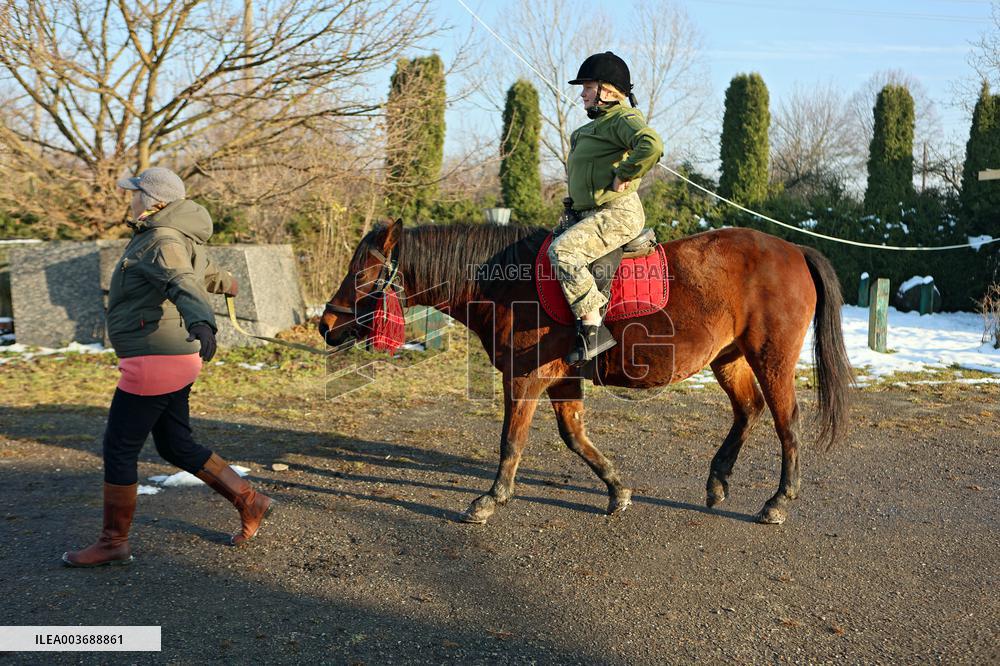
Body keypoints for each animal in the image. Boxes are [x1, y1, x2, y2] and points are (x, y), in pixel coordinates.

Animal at [319, 219, 853, 525]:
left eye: (363, 274)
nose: (325, 324)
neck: (508, 283)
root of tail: (794, 249)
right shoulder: (563, 379)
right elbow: (575, 436)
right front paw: (617, 490)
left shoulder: (526, 379)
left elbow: (511, 442)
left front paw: (491, 499)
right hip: (729, 357)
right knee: (748, 410)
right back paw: (718, 480)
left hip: (771, 358)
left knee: (786, 422)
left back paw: (779, 500)